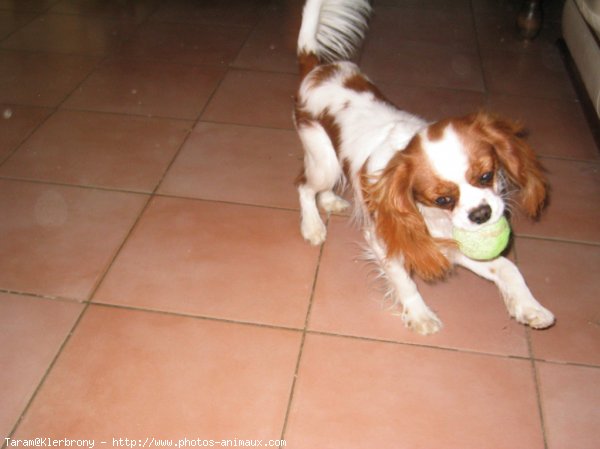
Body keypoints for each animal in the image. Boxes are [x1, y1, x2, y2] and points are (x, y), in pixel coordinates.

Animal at [292, 0, 556, 334]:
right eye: (442, 199)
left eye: (486, 175)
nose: (481, 214)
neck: (436, 218)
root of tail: (316, 68)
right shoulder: (385, 241)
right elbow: (404, 281)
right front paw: (420, 316)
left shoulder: (456, 241)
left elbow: (507, 267)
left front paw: (530, 308)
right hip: (322, 160)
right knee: (304, 186)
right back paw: (312, 226)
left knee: (324, 187)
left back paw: (329, 202)